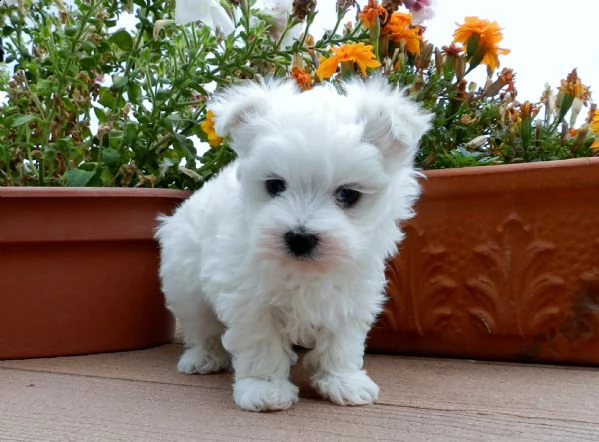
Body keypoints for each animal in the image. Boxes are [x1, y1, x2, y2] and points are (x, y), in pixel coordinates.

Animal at [156, 76, 432, 410]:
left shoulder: (350, 295)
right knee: (200, 326)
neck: (304, 270)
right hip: (185, 283)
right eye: (275, 185)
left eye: (348, 195)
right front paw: (264, 388)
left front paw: (343, 381)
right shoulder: (250, 299)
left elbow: (342, 342)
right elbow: (261, 344)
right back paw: (202, 358)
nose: (300, 238)